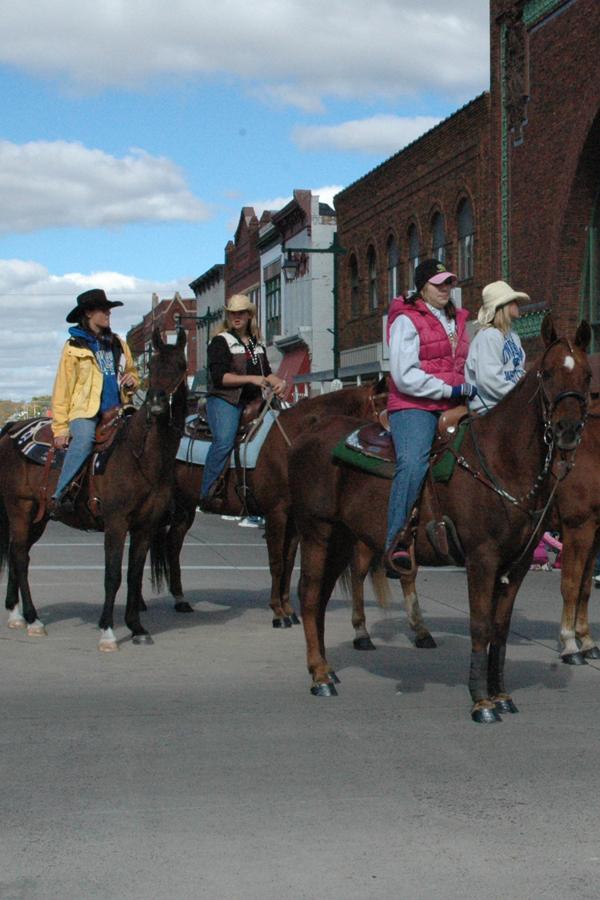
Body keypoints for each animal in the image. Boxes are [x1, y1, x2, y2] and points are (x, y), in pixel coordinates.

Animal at [0, 326, 188, 652]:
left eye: (180, 365)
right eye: (153, 366)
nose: (155, 403)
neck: (140, 455)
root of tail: (12, 430)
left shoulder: (145, 526)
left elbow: (135, 575)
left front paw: (137, 628)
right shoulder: (116, 523)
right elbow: (112, 576)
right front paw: (108, 632)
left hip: (38, 517)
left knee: (16, 554)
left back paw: (16, 615)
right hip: (19, 510)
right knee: (21, 558)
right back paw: (34, 620)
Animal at [163, 378, 436, 648]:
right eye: (388, 413)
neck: (294, 441)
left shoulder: (295, 519)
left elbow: (288, 561)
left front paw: (287, 609)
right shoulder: (276, 513)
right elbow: (276, 562)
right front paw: (277, 613)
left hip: (185, 507)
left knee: (173, 543)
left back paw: (179, 598)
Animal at [290, 316, 592, 724]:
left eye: (587, 376)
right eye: (546, 373)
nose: (567, 430)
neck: (501, 461)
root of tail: (311, 431)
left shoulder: (518, 563)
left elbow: (501, 628)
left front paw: (501, 695)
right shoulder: (482, 558)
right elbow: (480, 625)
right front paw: (481, 702)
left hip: (339, 538)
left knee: (321, 598)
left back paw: (326, 667)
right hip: (317, 532)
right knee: (308, 596)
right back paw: (320, 678)